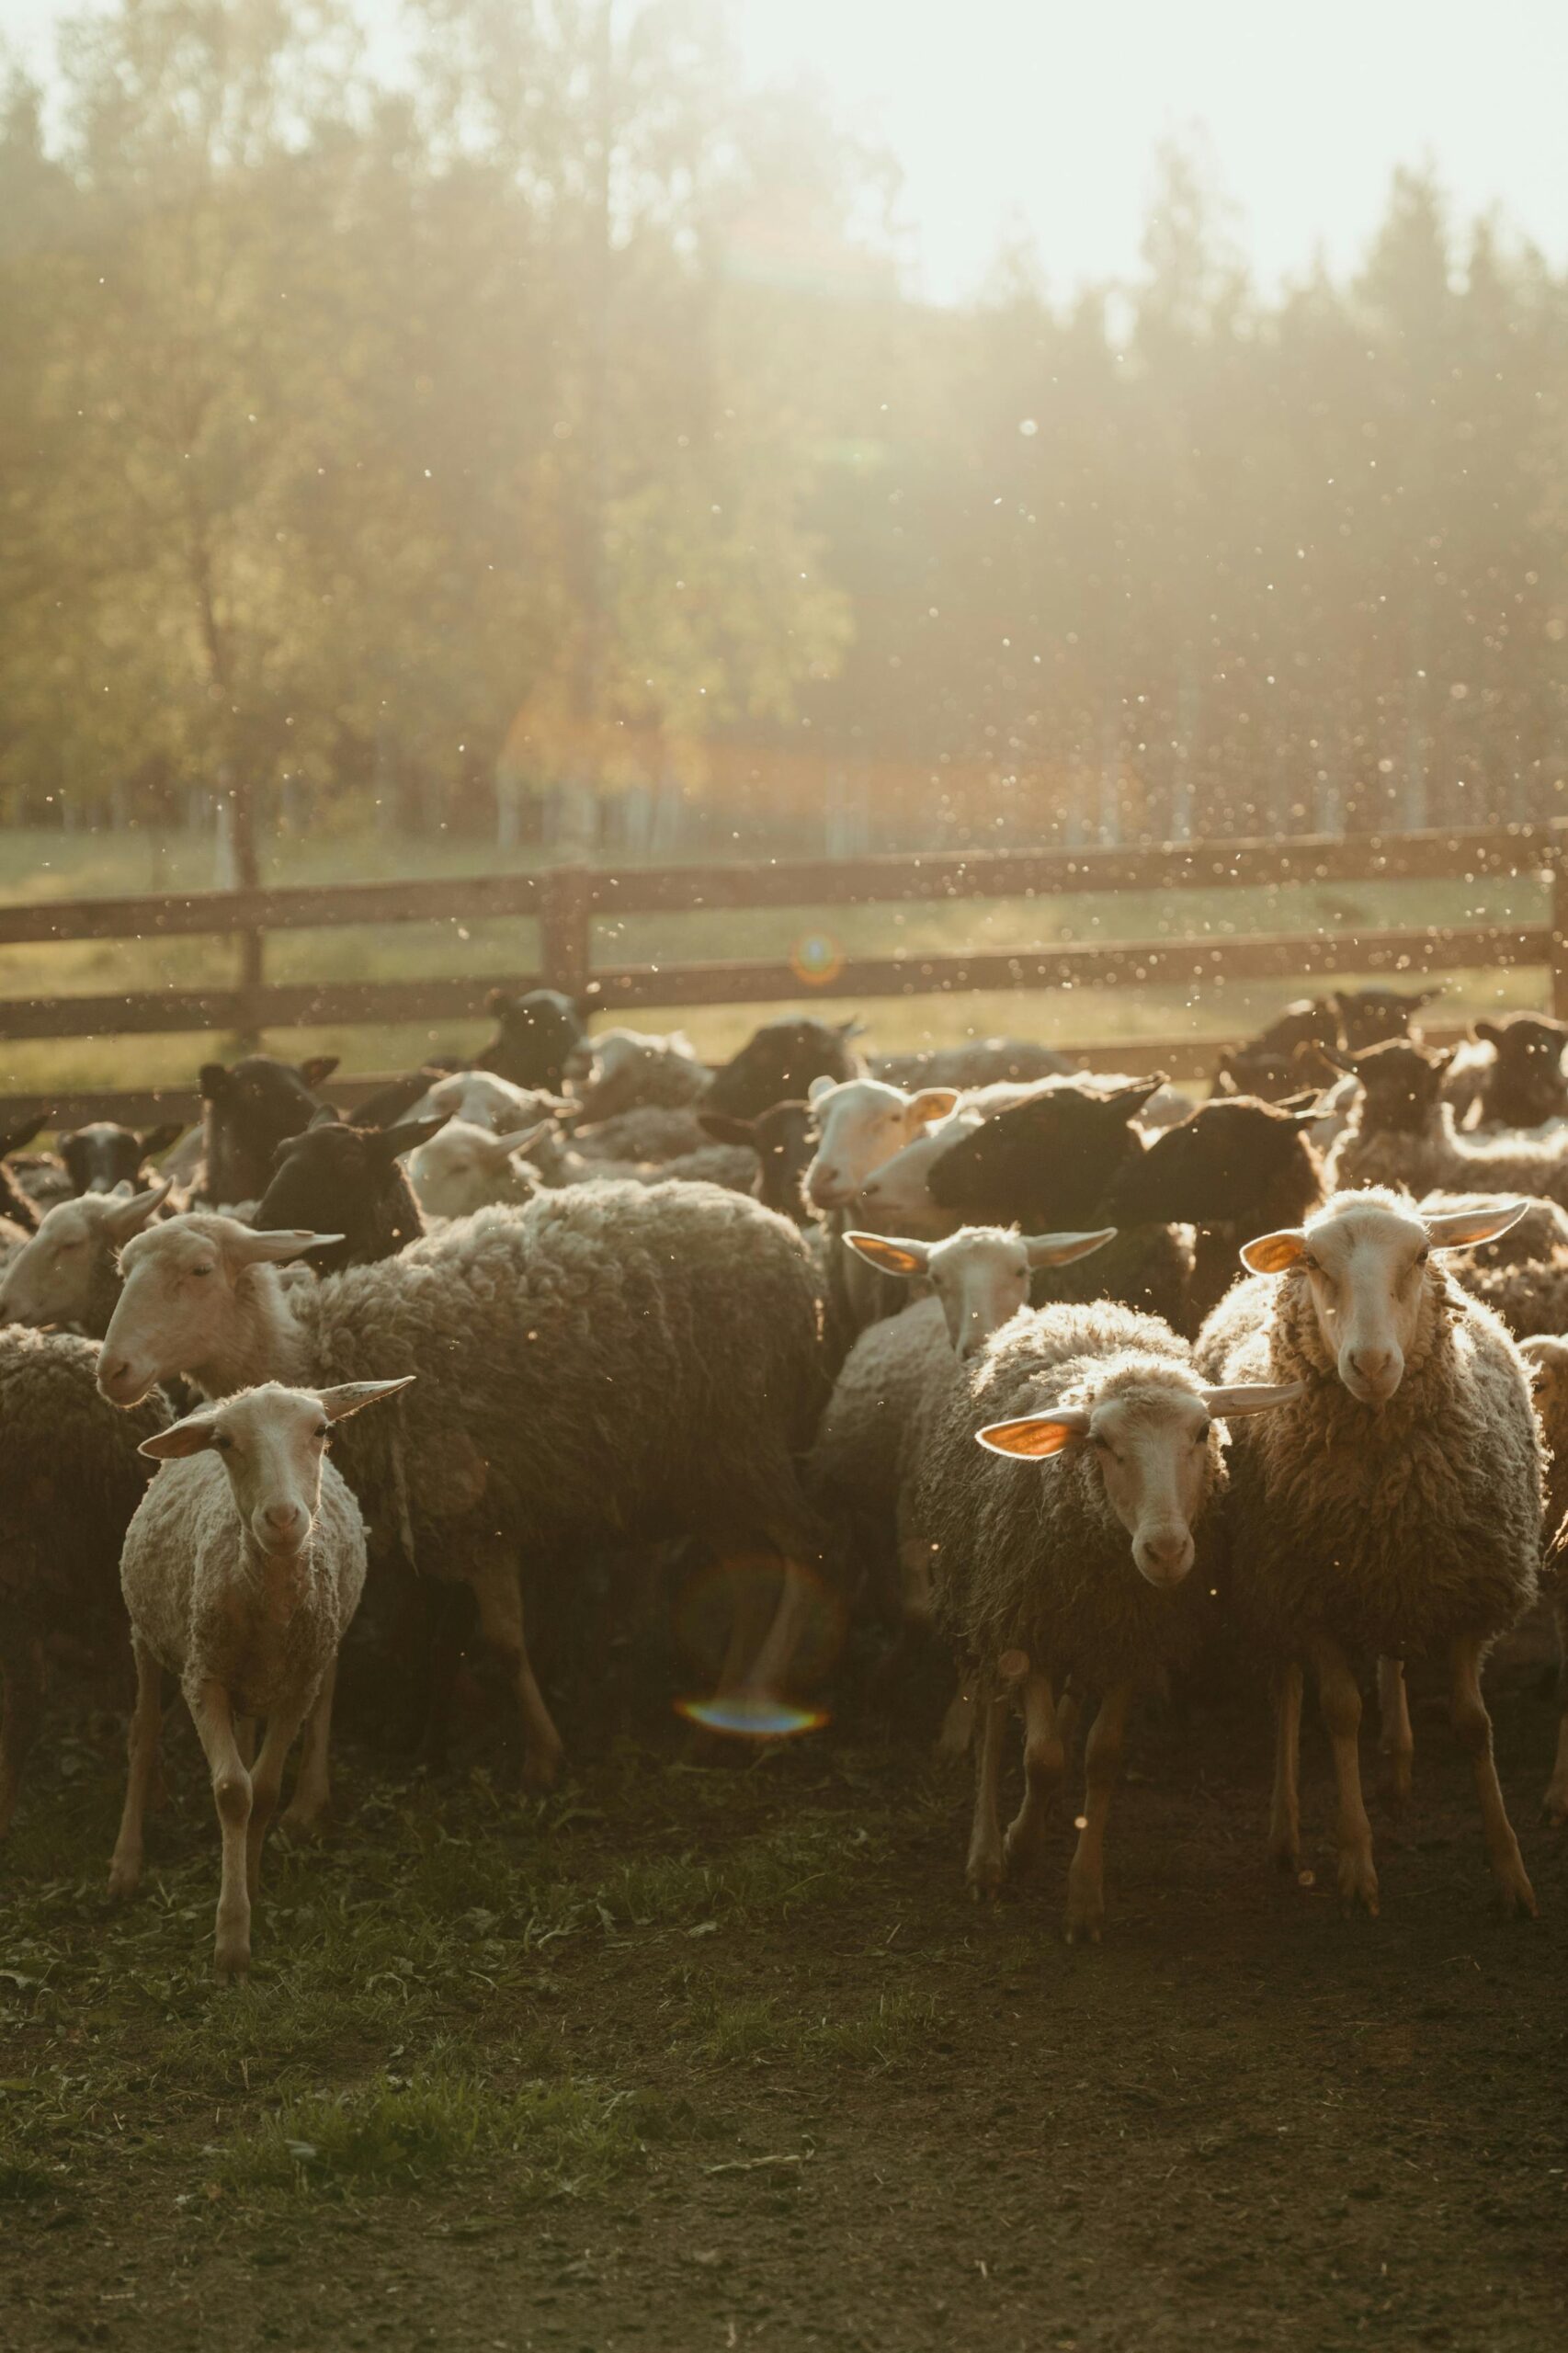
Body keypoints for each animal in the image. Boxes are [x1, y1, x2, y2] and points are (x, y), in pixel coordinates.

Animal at [96, 1184, 830, 1783]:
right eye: (123, 1272)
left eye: (199, 1271)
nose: (113, 1371)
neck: (319, 1350)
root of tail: (780, 1228)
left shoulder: (479, 1519)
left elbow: (503, 1640)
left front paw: (542, 1754)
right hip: (702, 1468)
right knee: (748, 1573)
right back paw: (719, 1721)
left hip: (747, 1437)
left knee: (805, 1551)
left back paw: (758, 1706)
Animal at [109, 1378, 412, 1976]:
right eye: (225, 1443)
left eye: (322, 1430)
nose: (283, 1519)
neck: (268, 1601)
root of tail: (223, 1395)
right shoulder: (203, 1678)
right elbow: (232, 1791)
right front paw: (231, 1940)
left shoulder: (297, 1685)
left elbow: (265, 1790)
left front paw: (249, 1879)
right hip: (145, 1635)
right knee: (143, 1734)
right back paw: (126, 1864)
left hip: (302, 1660)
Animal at [914, 1301, 1298, 1938]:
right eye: (1099, 1441)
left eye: (1202, 1432)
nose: (1165, 1551)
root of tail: (1074, 1309)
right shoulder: (1030, 1625)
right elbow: (1040, 1758)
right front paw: (1018, 1850)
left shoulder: (1129, 1641)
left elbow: (1101, 1758)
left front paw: (1084, 1898)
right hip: (990, 1604)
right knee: (994, 1725)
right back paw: (987, 1857)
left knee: (1065, 1717)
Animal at [1196, 1188, 1542, 1916]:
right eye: (1312, 1263)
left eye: (1422, 1256)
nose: (1374, 1365)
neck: (1386, 1489)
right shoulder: (1307, 1599)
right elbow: (1340, 1712)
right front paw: (1356, 1863)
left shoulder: (1468, 1596)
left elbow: (1474, 1723)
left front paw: (1510, 1870)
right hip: (1271, 1589)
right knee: (1288, 1692)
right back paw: (1286, 1832)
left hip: (1392, 1585)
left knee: (1392, 1657)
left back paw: (1399, 1763)